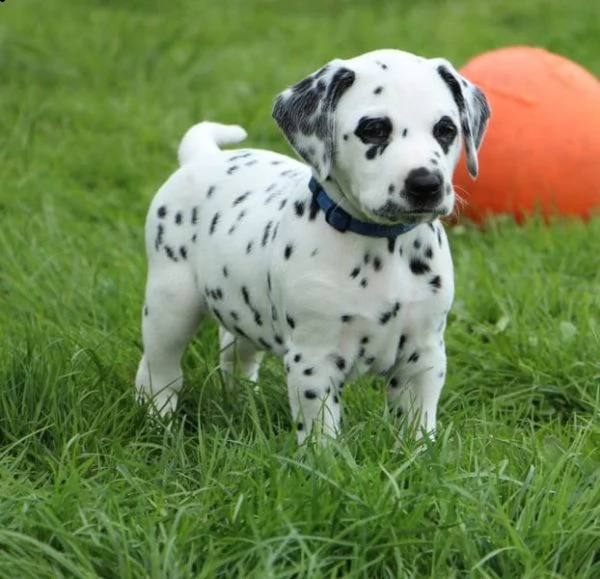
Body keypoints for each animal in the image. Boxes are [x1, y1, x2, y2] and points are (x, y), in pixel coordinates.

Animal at [134, 51, 490, 448]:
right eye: (375, 129)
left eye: (446, 129)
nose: (426, 184)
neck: (383, 246)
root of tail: (203, 157)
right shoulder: (314, 360)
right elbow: (322, 432)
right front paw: (326, 460)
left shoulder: (424, 354)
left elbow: (417, 423)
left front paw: (418, 455)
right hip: (171, 304)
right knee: (157, 370)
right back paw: (158, 424)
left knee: (235, 352)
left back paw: (241, 401)